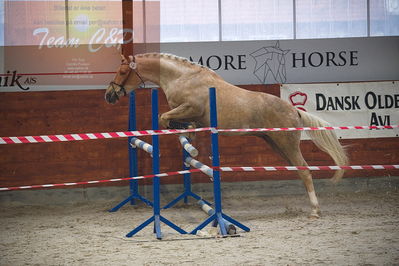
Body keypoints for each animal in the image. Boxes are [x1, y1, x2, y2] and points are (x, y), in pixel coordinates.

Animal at [104, 52, 348, 218]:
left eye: (123, 72)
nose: (109, 95)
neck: (182, 78)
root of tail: (294, 109)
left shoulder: (190, 108)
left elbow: (164, 118)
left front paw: (185, 134)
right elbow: (175, 121)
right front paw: (189, 135)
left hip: (286, 143)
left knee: (305, 170)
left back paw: (315, 211)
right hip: (274, 142)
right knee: (299, 170)